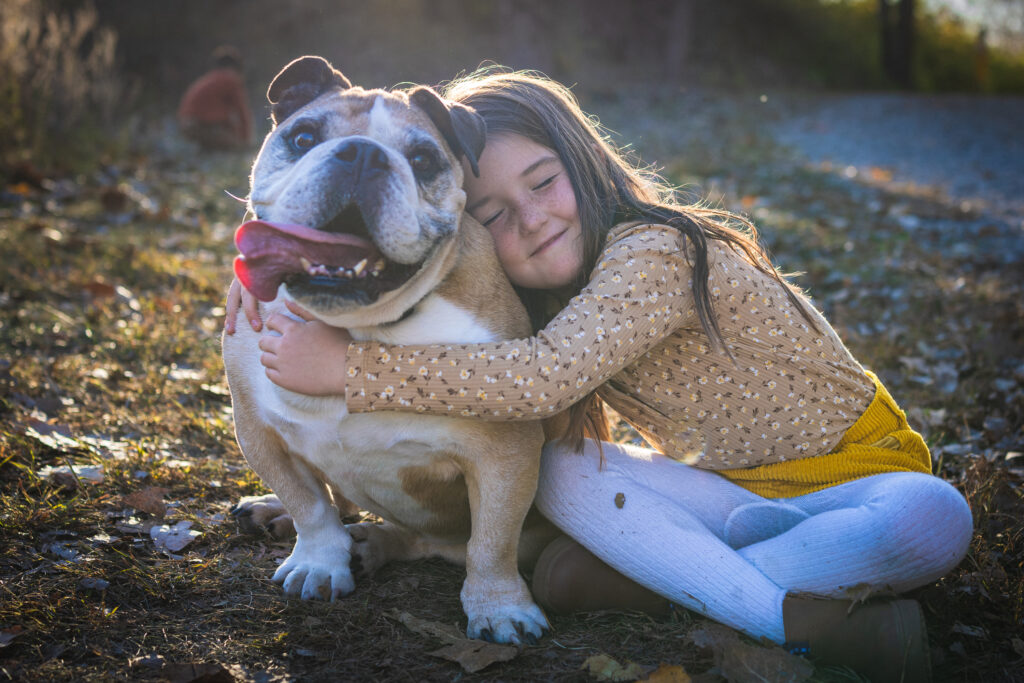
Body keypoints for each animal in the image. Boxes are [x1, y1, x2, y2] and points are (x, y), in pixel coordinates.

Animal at [223, 58, 557, 647]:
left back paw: (373, 546)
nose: (361, 153)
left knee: (428, 541)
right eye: (303, 137)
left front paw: (500, 607)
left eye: (422, 160)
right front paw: (317, 560)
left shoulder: (507, 452)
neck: (356, 332)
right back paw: (275, 514)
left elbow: (492, 541)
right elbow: (308, 504)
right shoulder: (256, 427)